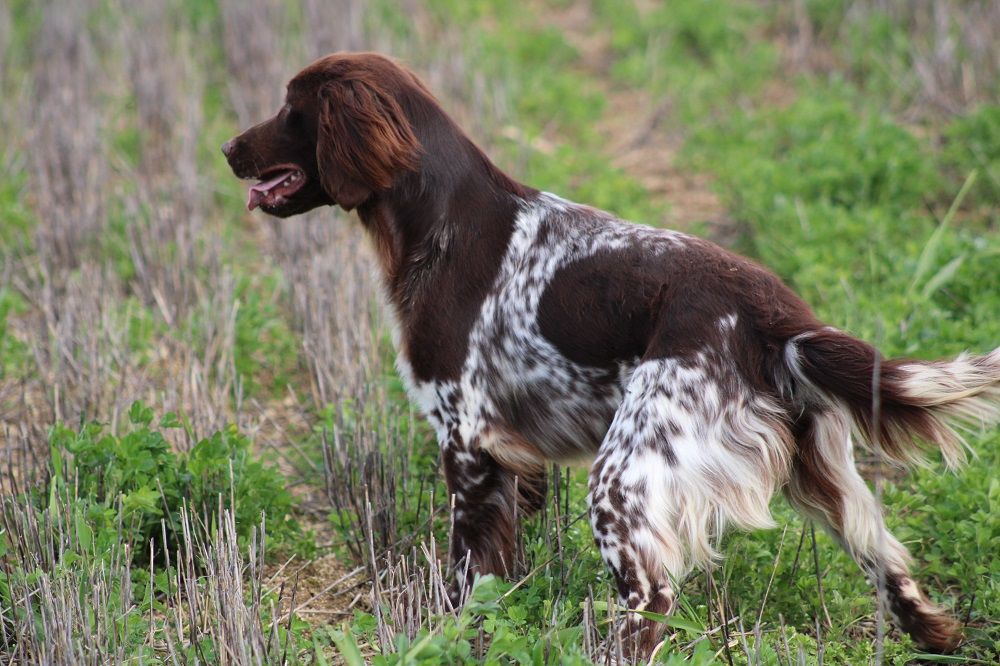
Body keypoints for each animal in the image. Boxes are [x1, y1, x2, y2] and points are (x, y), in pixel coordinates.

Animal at [227, 52, 1000, 652]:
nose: (230, 149)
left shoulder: (466, 439)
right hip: (822, 475)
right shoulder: (513, 460)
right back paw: (937, 636)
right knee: (887, 559)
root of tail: (774, 318)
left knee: (649, 601)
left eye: (292, 108)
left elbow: (465, 576)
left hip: (623, 477)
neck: (440, 222)